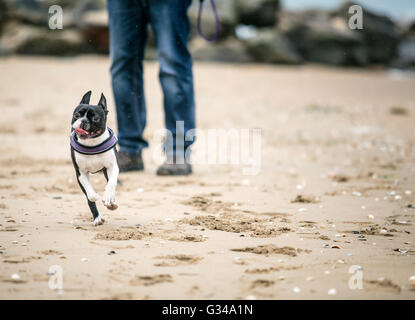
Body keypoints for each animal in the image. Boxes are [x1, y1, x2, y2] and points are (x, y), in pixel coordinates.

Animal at [70, 90, 119, 225]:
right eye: (76, 115)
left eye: (96, 118)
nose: (83, 121)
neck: (92, 144)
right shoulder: (81, 173)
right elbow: (90, 194)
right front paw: (95, 196)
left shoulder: (112, 166)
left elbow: (111, 183)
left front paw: (108, 197)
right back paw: (97, 218)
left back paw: (111, 203)